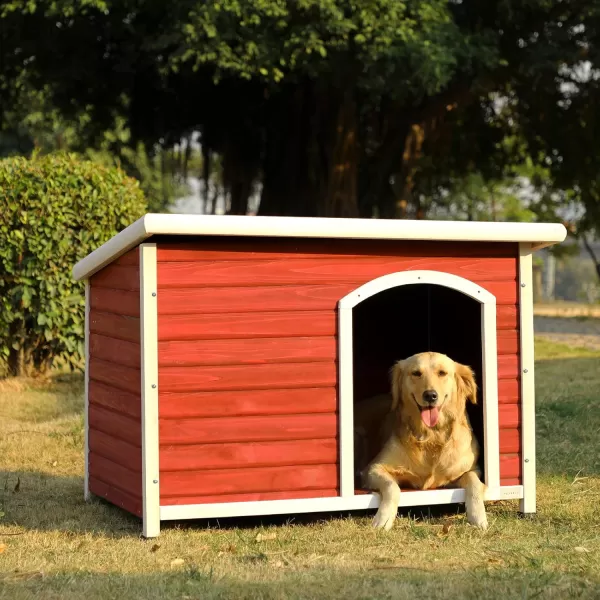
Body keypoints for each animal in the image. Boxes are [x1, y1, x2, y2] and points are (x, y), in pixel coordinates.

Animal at [356, 352, 488, 528]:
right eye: (416, 373)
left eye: (442, 373)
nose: (430, 395)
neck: (430, 435)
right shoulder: (373, 469)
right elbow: (392, 487)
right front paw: (383, 518)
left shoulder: (471, 469)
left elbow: (474, 482)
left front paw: (478, 516)